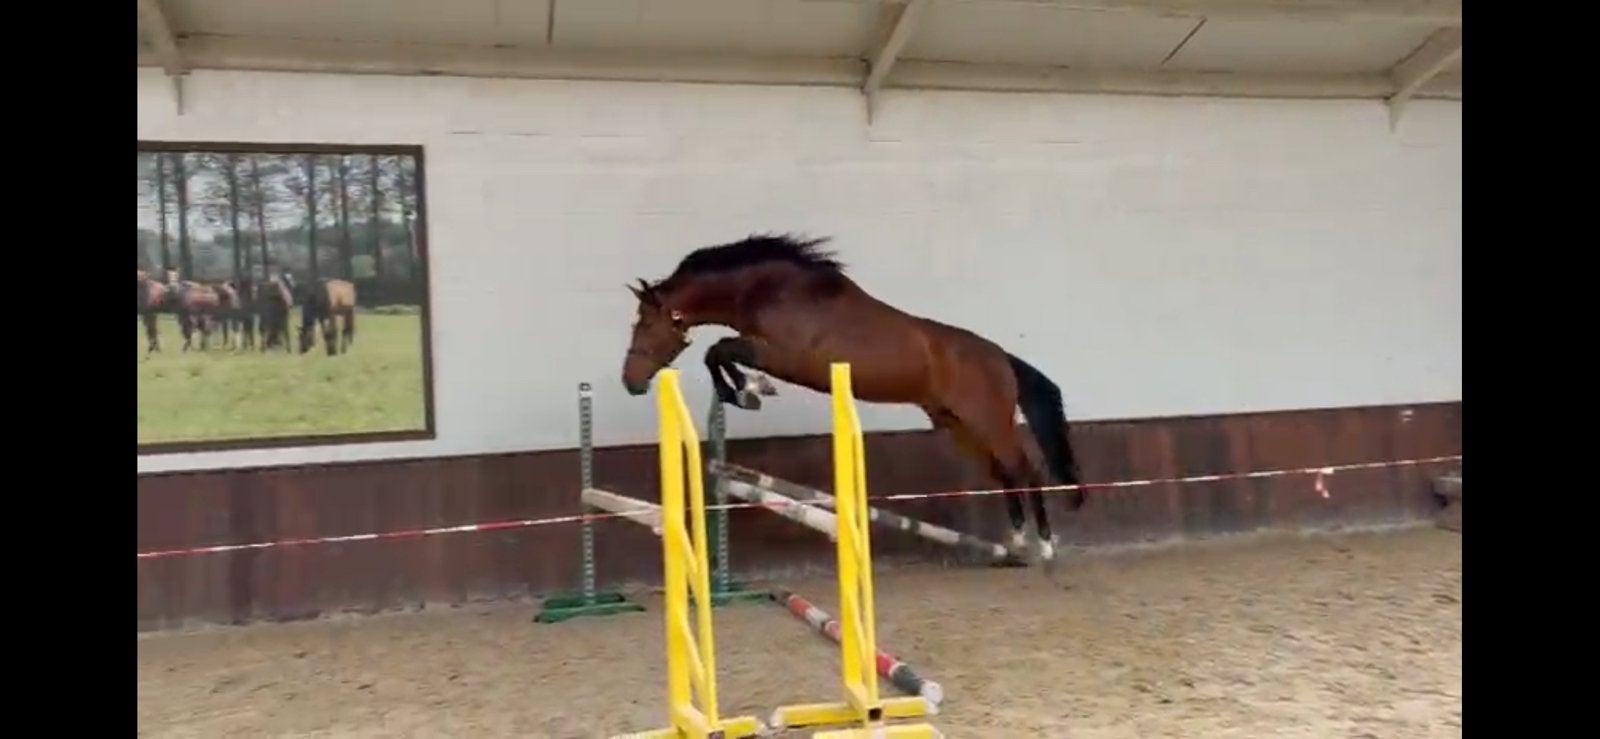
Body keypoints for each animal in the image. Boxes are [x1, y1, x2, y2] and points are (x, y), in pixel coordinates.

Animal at [620, 233, 1085, 563]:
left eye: (645, 324)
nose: (631, 382)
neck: (771, 290)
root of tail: (1001, 357)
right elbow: (719, 352)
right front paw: (748, 389)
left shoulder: (782, 356)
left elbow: (717, 350)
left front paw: (747, 392)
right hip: (957, 424)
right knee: (1004, 472)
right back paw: (1017, 543)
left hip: (987, 421)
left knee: (1025, 467)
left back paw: (1044, 546)